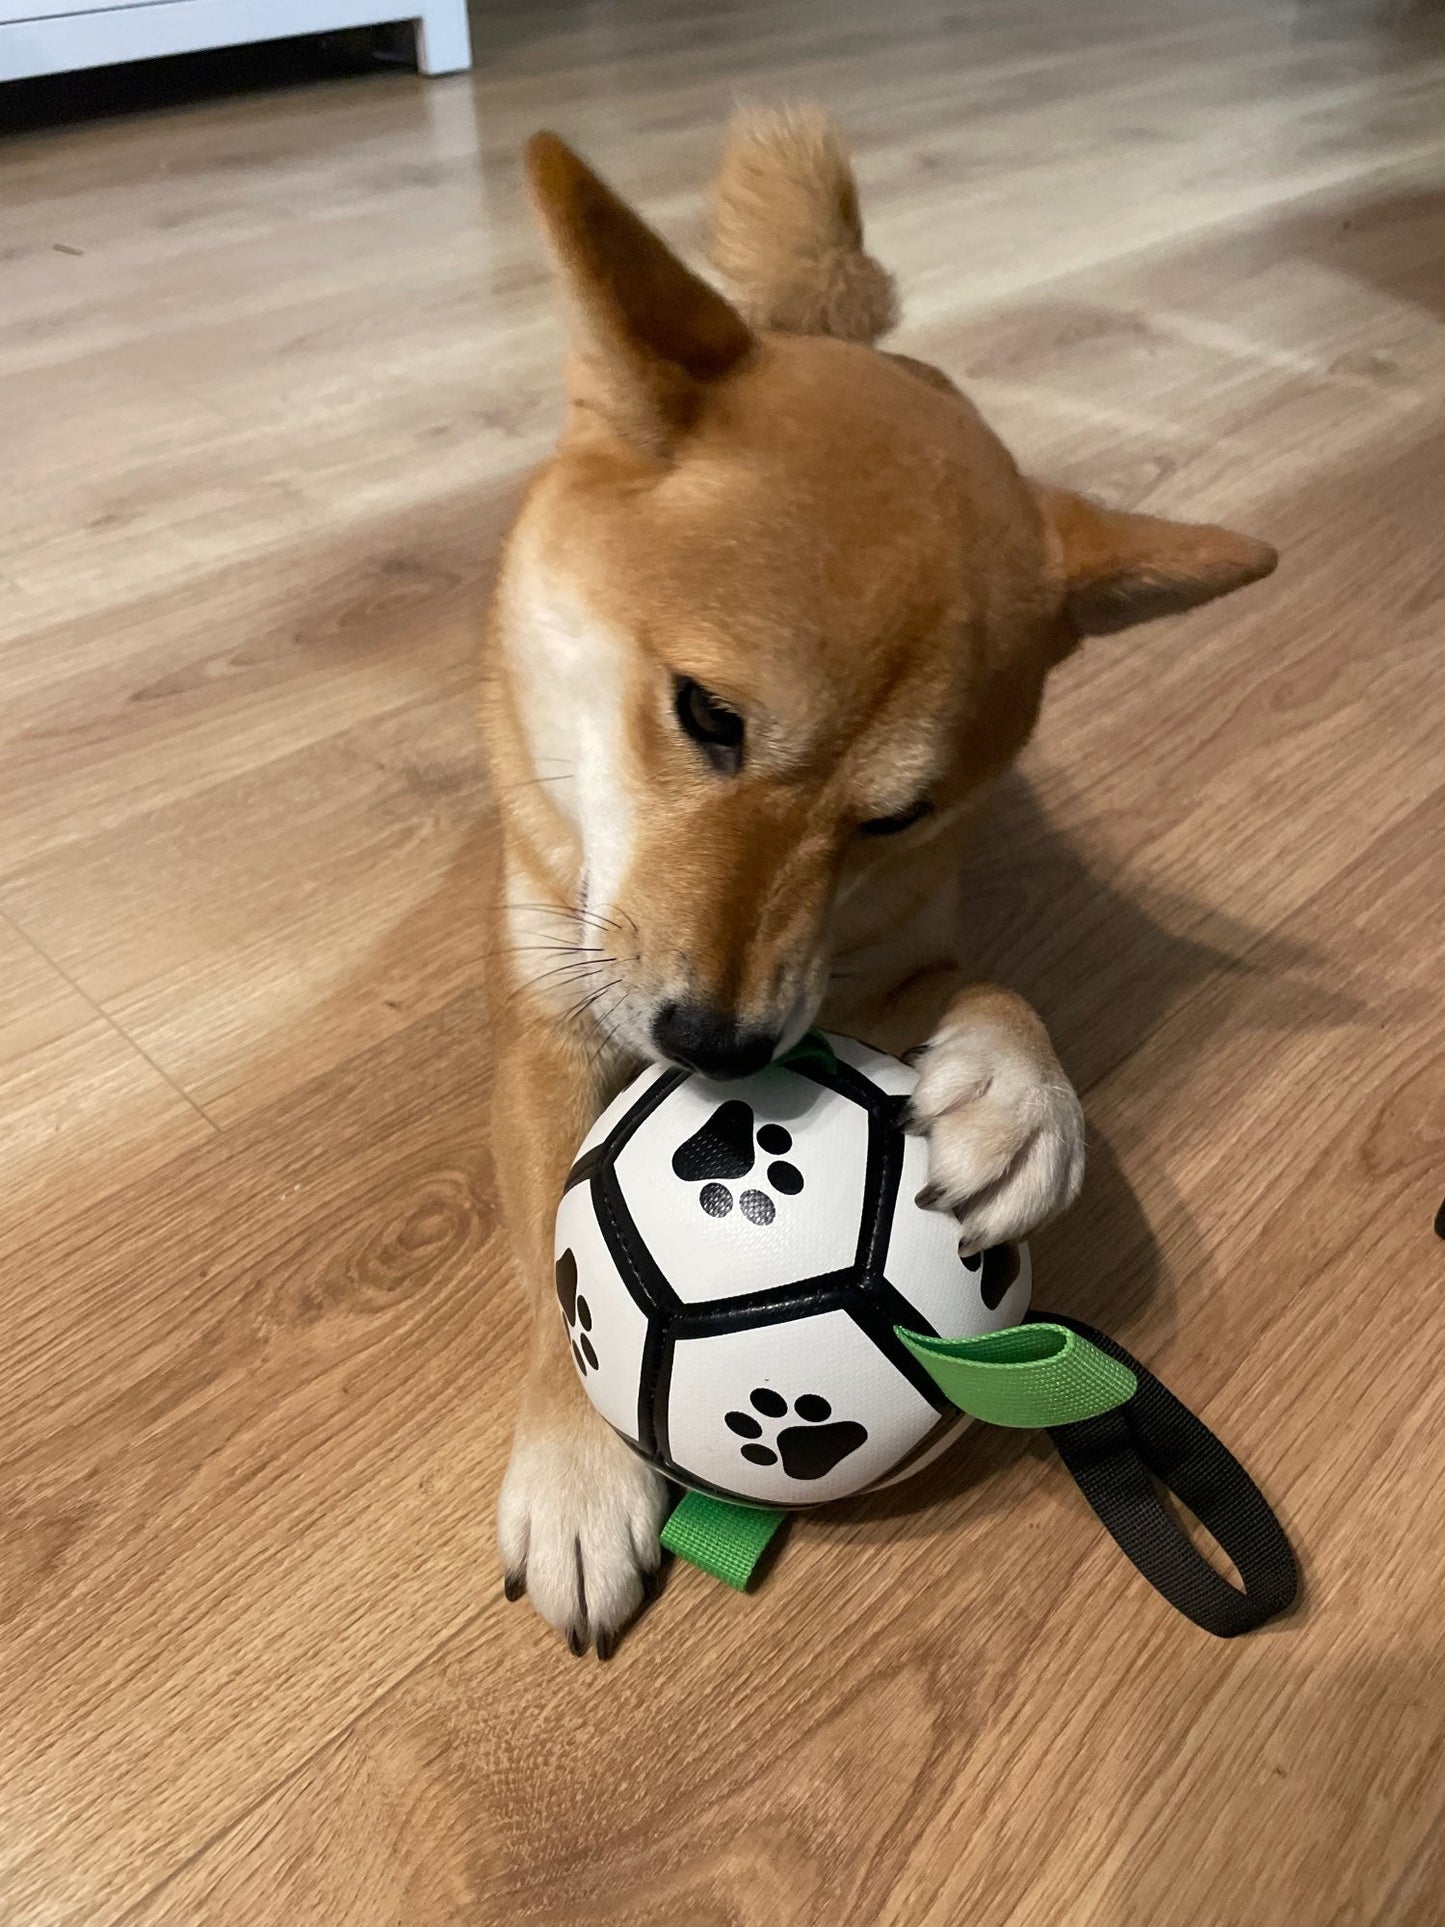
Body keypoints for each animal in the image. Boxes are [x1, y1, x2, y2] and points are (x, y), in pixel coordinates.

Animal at [487, 105, 1279, 1649]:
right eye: (706, 714)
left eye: (901, 815)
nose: (719, 1049)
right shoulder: (548, 1021)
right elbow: (550, 1252)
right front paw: (573, 1457)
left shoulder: (889, 955)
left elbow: (997, 990)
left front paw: (1020, 1104)